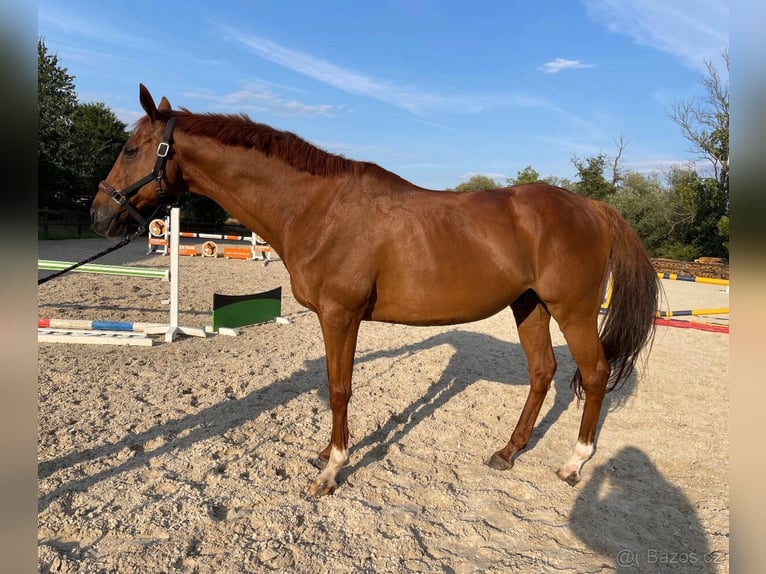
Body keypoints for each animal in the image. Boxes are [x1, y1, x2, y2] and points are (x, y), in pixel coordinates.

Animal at [91, 85, 660, 500]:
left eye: (130, 148)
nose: (99, 214)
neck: (317, 207)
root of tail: (594, 208)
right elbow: (333, 385)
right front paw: (327, 454)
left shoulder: (340, 315)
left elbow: (339, 388)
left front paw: (331, 470)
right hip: (530, 307)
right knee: (542, 373)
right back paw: (508, 451)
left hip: (573, 311)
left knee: (594, 373)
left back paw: (574, 463)